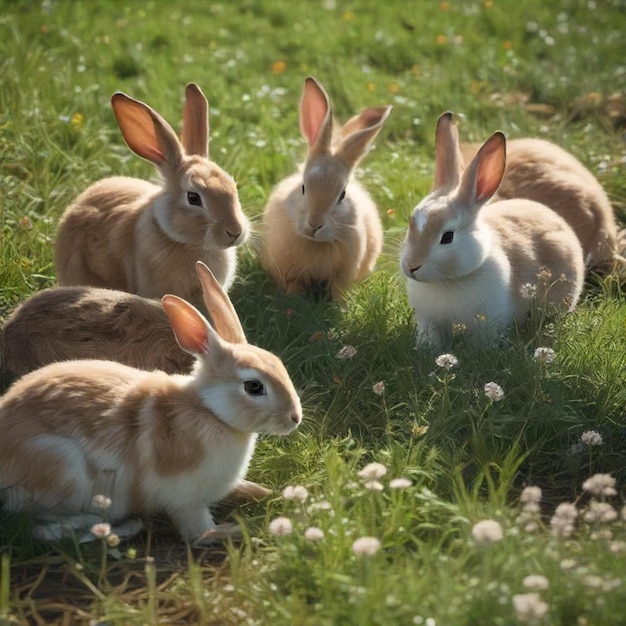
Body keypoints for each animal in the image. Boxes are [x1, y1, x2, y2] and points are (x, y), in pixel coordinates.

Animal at [0, 260, 300, 544]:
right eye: (254, 386)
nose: (295, 418)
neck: (210, 410)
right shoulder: (186, 500)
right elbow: (198, 533)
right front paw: (243, 530)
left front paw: (267, 492)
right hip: (62, 467)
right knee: (40, 525)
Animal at [260, 75, 390, 300]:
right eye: (303, 187)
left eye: (342, 195)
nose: (315, 224)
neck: (315, 243)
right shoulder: (288, 271)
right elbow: (293, 285)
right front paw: (294, 299)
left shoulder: (344, 274)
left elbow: (339, 290)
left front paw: (340, 304)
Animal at [400, 112, 584, 346]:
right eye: (410, 222)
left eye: (447, 237)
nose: (411, 266)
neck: (449, 281)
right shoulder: (428, 322)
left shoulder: (486, 324)